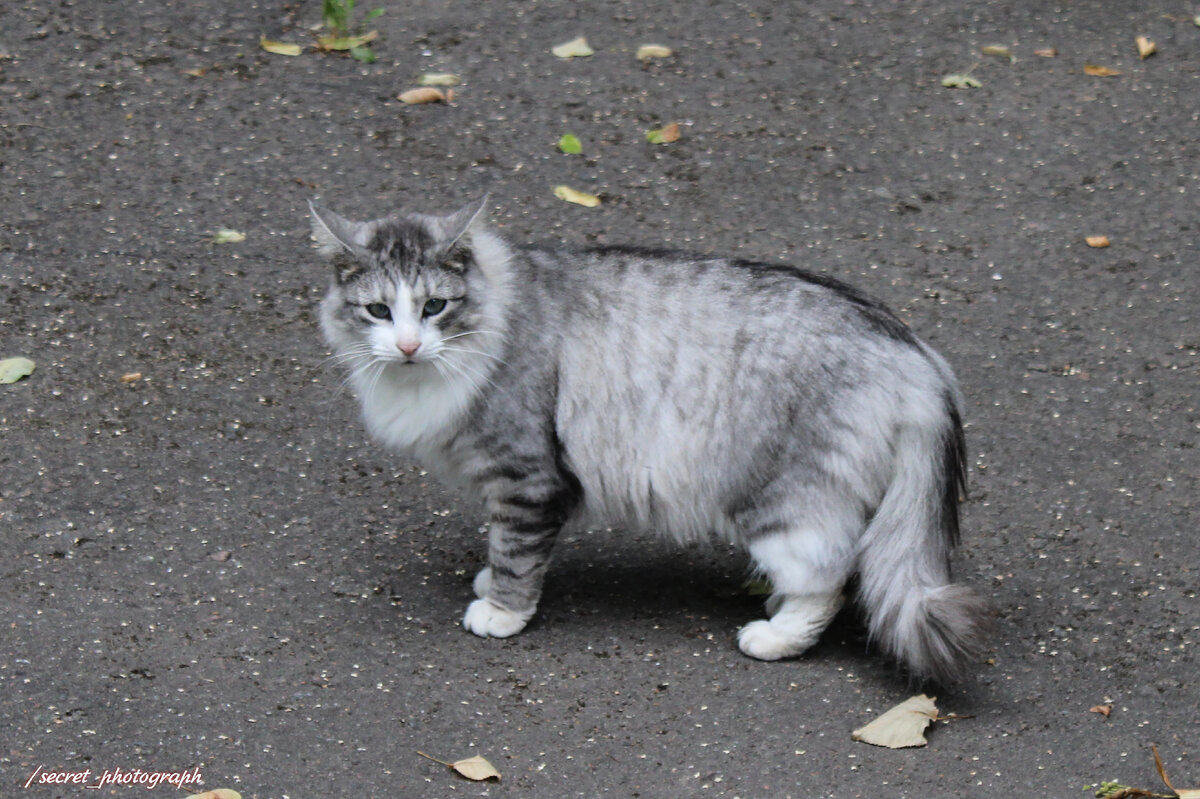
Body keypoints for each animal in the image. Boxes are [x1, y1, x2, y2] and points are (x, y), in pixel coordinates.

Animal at [312, 193, 993, 676]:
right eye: (378, 311)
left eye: (434, 307)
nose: (407, 346)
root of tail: (913, 353)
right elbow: (500, 546)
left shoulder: (525, 477)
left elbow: (514, 554)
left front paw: (500, 612)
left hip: (781, 498)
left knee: (828, 576)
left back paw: (773, 635)